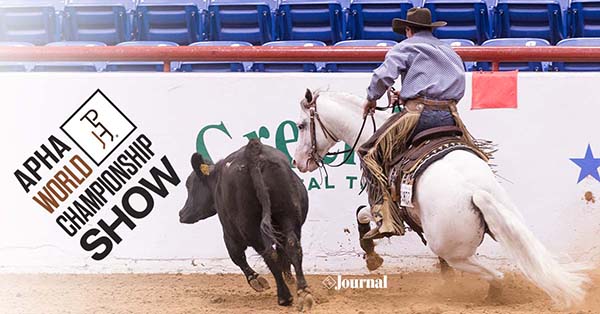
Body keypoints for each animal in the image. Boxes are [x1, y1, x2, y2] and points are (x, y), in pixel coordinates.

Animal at [179, 140, 314, 312]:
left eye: (190, 185)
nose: (182, 213)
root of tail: (252, 153)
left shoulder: (229, 233)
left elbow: (236, 256)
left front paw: (256, 279)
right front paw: (289, 277)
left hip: (250, 227)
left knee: (268, 254)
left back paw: (284, 296)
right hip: (288, 217)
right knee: (292, 247)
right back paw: (303, 292)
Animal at [292, 89, 588, 306]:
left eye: (302, 125)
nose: (298, 161)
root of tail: (476, 191)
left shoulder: (388, 206)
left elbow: (365, 214)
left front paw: (371, 252)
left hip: (452, 249)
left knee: (496, 275)